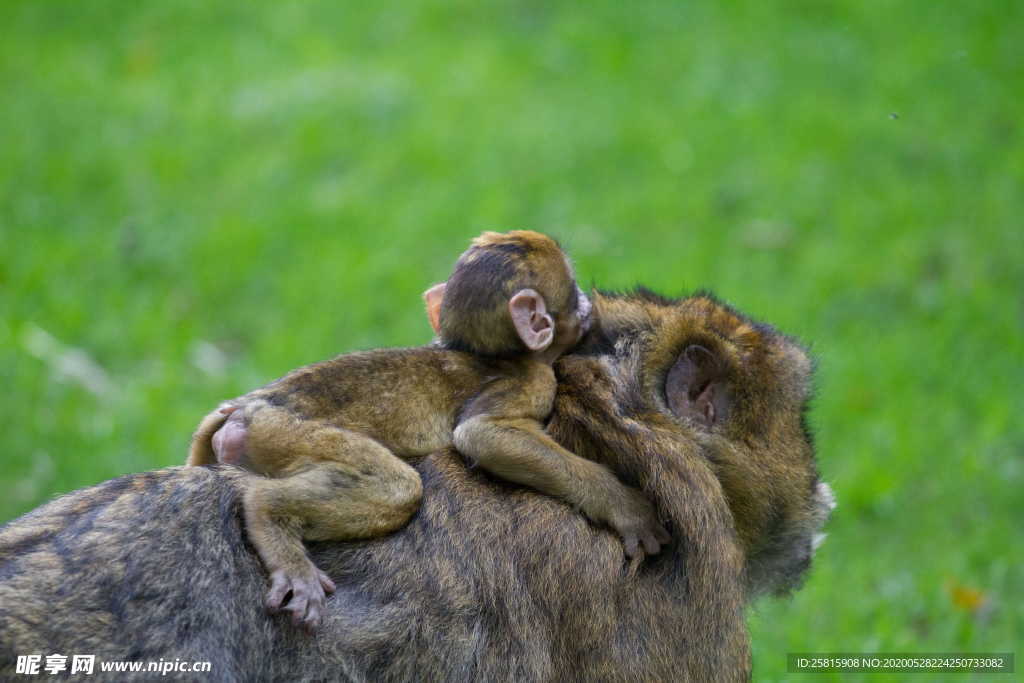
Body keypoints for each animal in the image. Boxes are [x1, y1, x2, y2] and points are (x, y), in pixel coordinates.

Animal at [0, 290, 831, 683]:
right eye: (798, 420)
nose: (820, 492)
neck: (602, 411)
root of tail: (241, 415)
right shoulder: (682, 614)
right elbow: (488, 434)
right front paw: (624, 506)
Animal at [190, 231, 671, 630]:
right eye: (573, 295)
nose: (587, 304)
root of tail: (244, 410)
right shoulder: (531, 382)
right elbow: (482, 436)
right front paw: (622, 503)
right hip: (283, 432)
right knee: (396, 487)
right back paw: (269, 515)